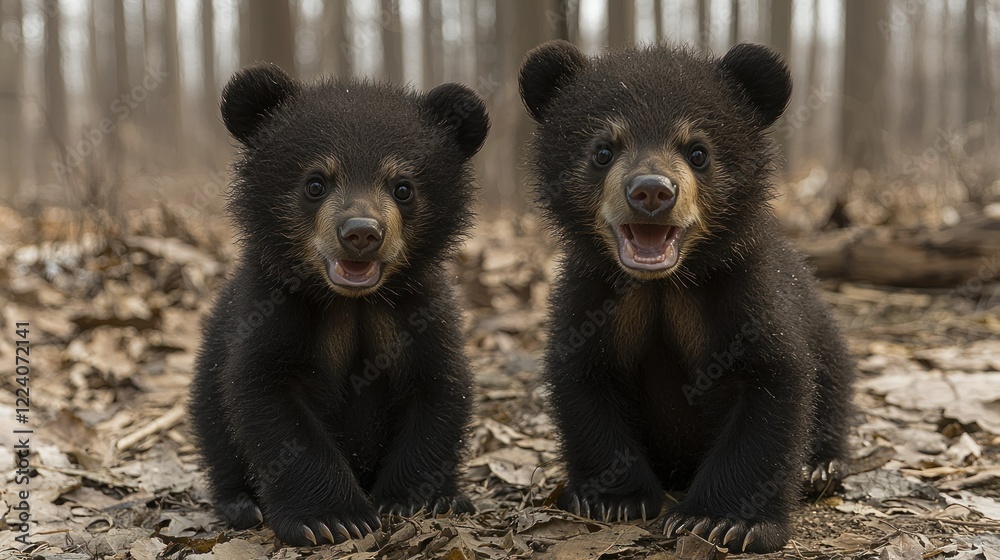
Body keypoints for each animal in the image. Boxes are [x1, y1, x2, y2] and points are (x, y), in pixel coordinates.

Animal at [188, 63, 490, 546]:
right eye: (316, 183)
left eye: (402, 187)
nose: (361, 233)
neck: (353, 304)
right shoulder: (272, 309)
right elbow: (267, 396)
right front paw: (331, 519)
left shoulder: (421, 311)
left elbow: (439, 389)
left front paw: (410, 500)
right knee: (216, 434)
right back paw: (241, 505)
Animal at [518, 41, 855, 553]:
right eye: (603, 150)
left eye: (698, 152)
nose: (651, 192)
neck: (662, 286)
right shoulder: (592, 296)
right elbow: (585, 378)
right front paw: (613, 500)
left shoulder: (745, 292)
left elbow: (772, 382)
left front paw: (723, 521)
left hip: (822, 326)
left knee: (833, 379)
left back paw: (821, 467)